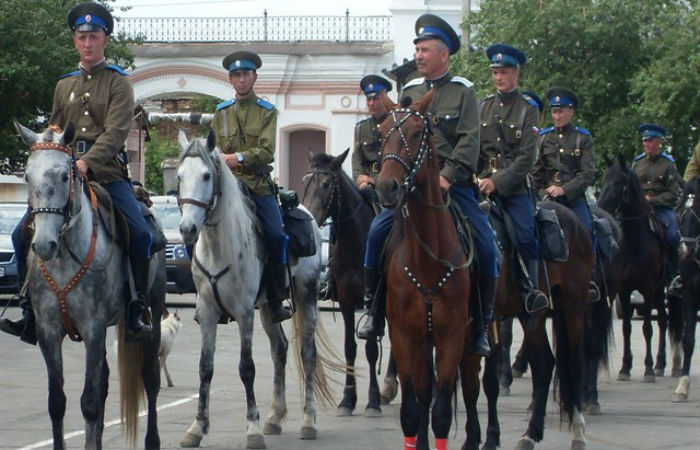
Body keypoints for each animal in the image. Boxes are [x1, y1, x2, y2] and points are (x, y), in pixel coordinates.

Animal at [14, 120, 167, 450]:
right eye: (27, 176)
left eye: (64, 175)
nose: (43, 244)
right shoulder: (48, 332)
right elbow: (57, 402)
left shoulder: (93, 329)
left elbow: (90, 402)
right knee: (105, 382)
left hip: (153, 312)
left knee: (150, 379)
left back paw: (152, 440)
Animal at [174, 128, 330, 448]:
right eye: (180, 175)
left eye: (206, 176)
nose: (187, 229)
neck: (219, 247)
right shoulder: (207, 313)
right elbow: (205, 367)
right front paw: (197, 427)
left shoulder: (244, 313)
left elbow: (247, 368)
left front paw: (253, 429)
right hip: (268, 307)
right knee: (279, 349)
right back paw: (274, 417)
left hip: (306, 297)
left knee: (307, 353)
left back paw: (308, 422)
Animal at [300, 149, 394, 416]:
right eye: (305, 180)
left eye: (326, 183)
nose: (309, 218)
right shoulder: (345, 300)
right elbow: (349, 347)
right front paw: (347, 399)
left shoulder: (374, 302)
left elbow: (371, 349)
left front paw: (372, 400)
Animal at [374, 91, 484, 450]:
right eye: (382, 132)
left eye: (417, 132)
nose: (387, 187)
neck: (427, 261)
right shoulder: (405, 336)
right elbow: (412, 409)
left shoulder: (451, 336)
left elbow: (442, 413)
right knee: (423, 395)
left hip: (470, 341)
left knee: (474, 390)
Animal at [596, 154, 672, 380]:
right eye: (603, 179)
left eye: (619, 183)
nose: (600, 208)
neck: (634, 242)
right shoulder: (623, 290)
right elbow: (626, 328)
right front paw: (625, 367)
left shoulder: (646, 288)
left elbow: (647, 327)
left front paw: (648, 368)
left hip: (659, 289)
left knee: (662, 321)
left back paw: (660, 364)